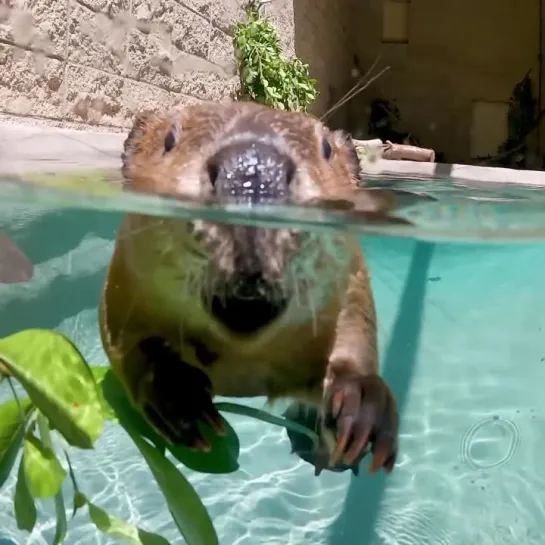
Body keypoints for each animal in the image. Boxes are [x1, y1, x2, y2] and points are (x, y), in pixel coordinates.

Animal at [100, 100, 400, 474]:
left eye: (326, 149)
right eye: (169, 139)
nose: (252, 173)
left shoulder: (351, 279)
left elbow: (355, 337)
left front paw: (360, 412)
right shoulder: (124, 279)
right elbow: (123, 339)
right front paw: (181, 397)